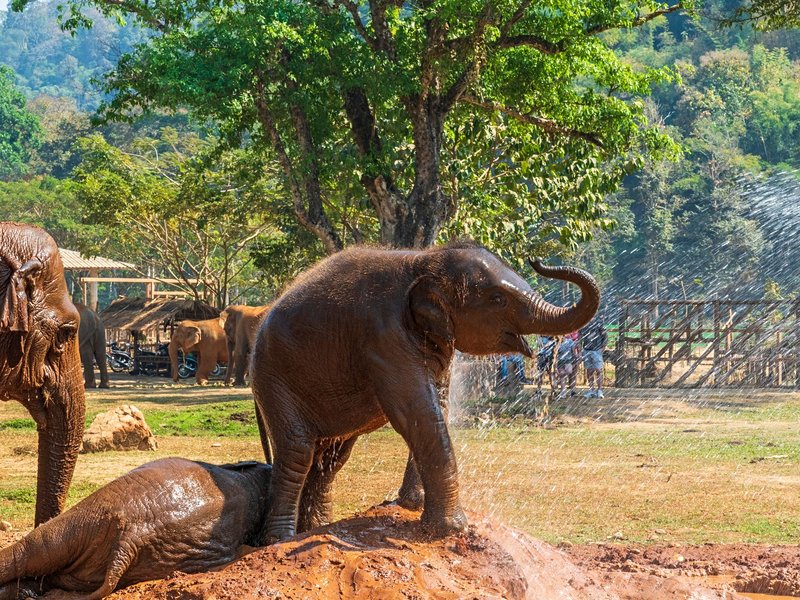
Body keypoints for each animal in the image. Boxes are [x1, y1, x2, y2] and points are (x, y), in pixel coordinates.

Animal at [251, 241, 600, 542]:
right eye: (498, 299)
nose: (537, 261)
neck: (423, 260)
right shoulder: (384, 338)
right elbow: (417, 410)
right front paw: (450, 529)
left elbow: (437, 406)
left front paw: (412, 506)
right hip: (273, 378)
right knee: (298, 451)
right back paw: (280, 540)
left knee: (332, 457)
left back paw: (314, 529)